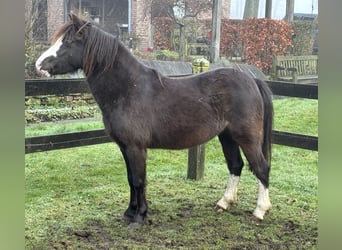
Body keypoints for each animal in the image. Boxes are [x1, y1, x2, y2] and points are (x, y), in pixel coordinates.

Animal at [36, 14, 274, 227]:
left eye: (67, 42)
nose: (38, 65)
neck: (128, 89)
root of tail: (252, 80)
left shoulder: (136, 147)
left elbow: (139, 180)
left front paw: (139, 217)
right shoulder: (124, 147)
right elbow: (130, 179)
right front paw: (130, 212)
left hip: (247, 138)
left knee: (261, 167)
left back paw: (260, 211)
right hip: (227, 136)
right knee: (236, 165)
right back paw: (224, 203)